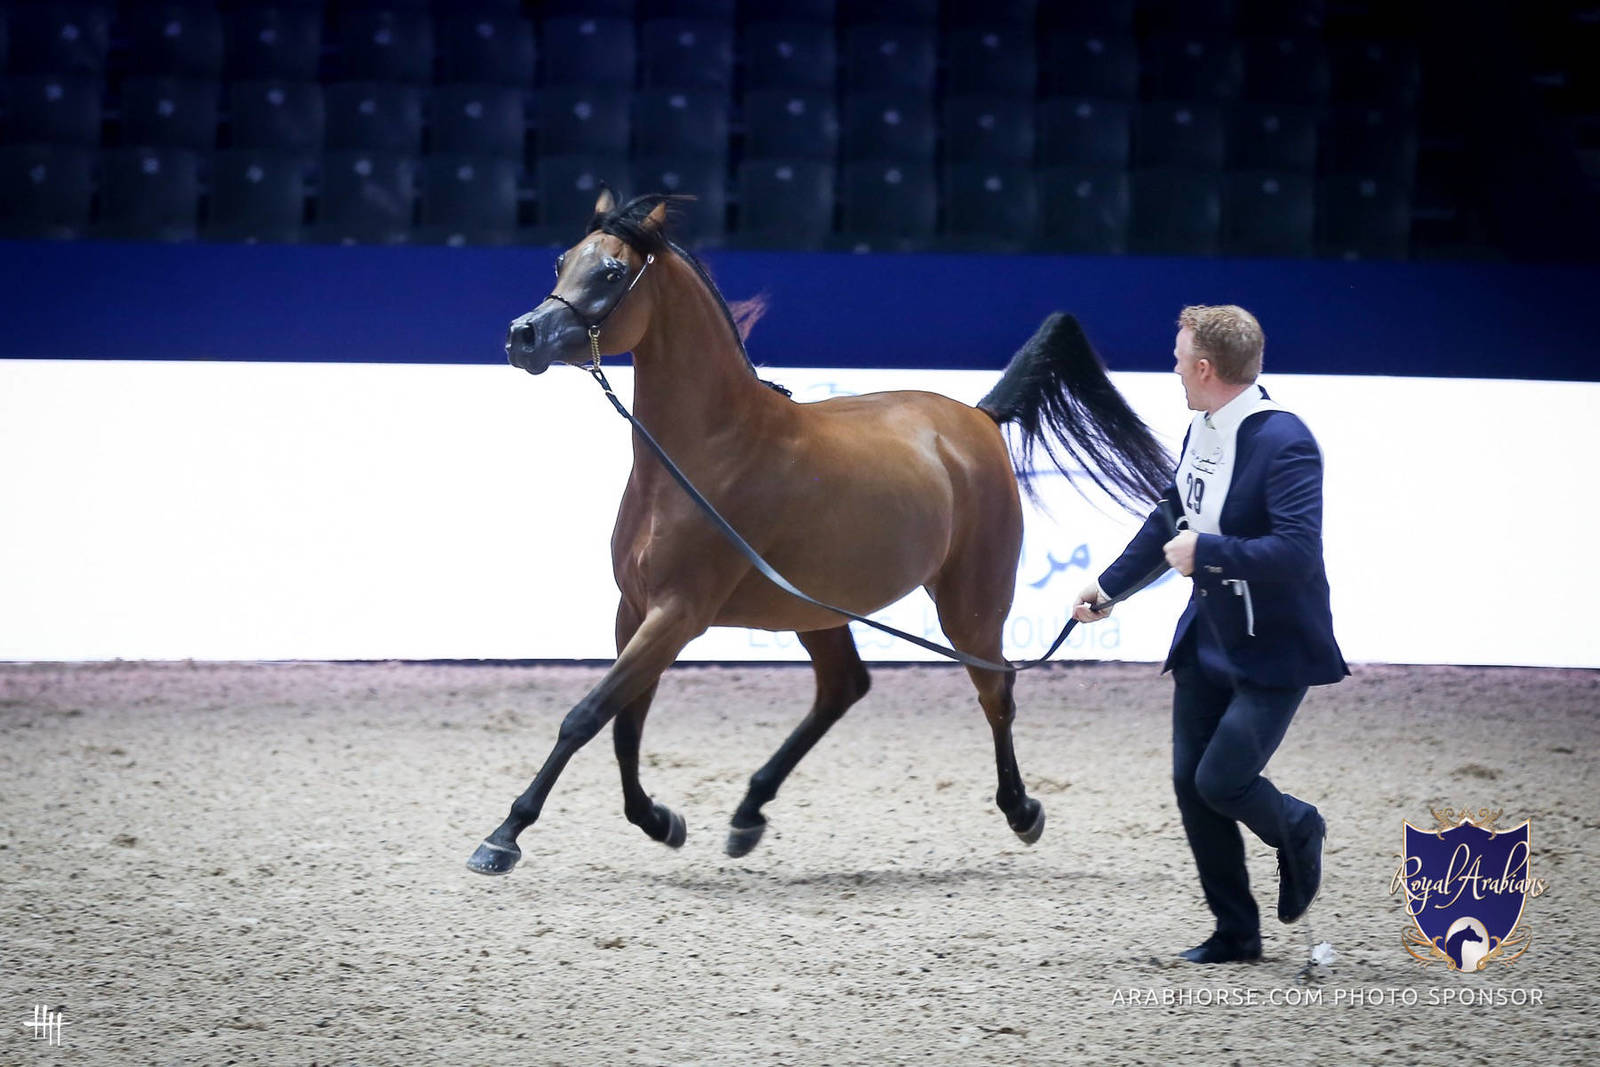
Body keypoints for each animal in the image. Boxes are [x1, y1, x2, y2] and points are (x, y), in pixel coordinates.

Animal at [469, 190, 1170, 875]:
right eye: (561, 261)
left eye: (611, 272)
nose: (522, 336)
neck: (707, 453)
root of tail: (978, 417)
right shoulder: (634, 609)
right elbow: (622, 725)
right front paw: (661, 822)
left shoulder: (677, 615)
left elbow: (586, 715)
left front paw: (503, 837)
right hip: (817, 610)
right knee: (844, 688)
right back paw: (748, 814)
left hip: (970, 605)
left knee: (996, 688)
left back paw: (1022, 811)